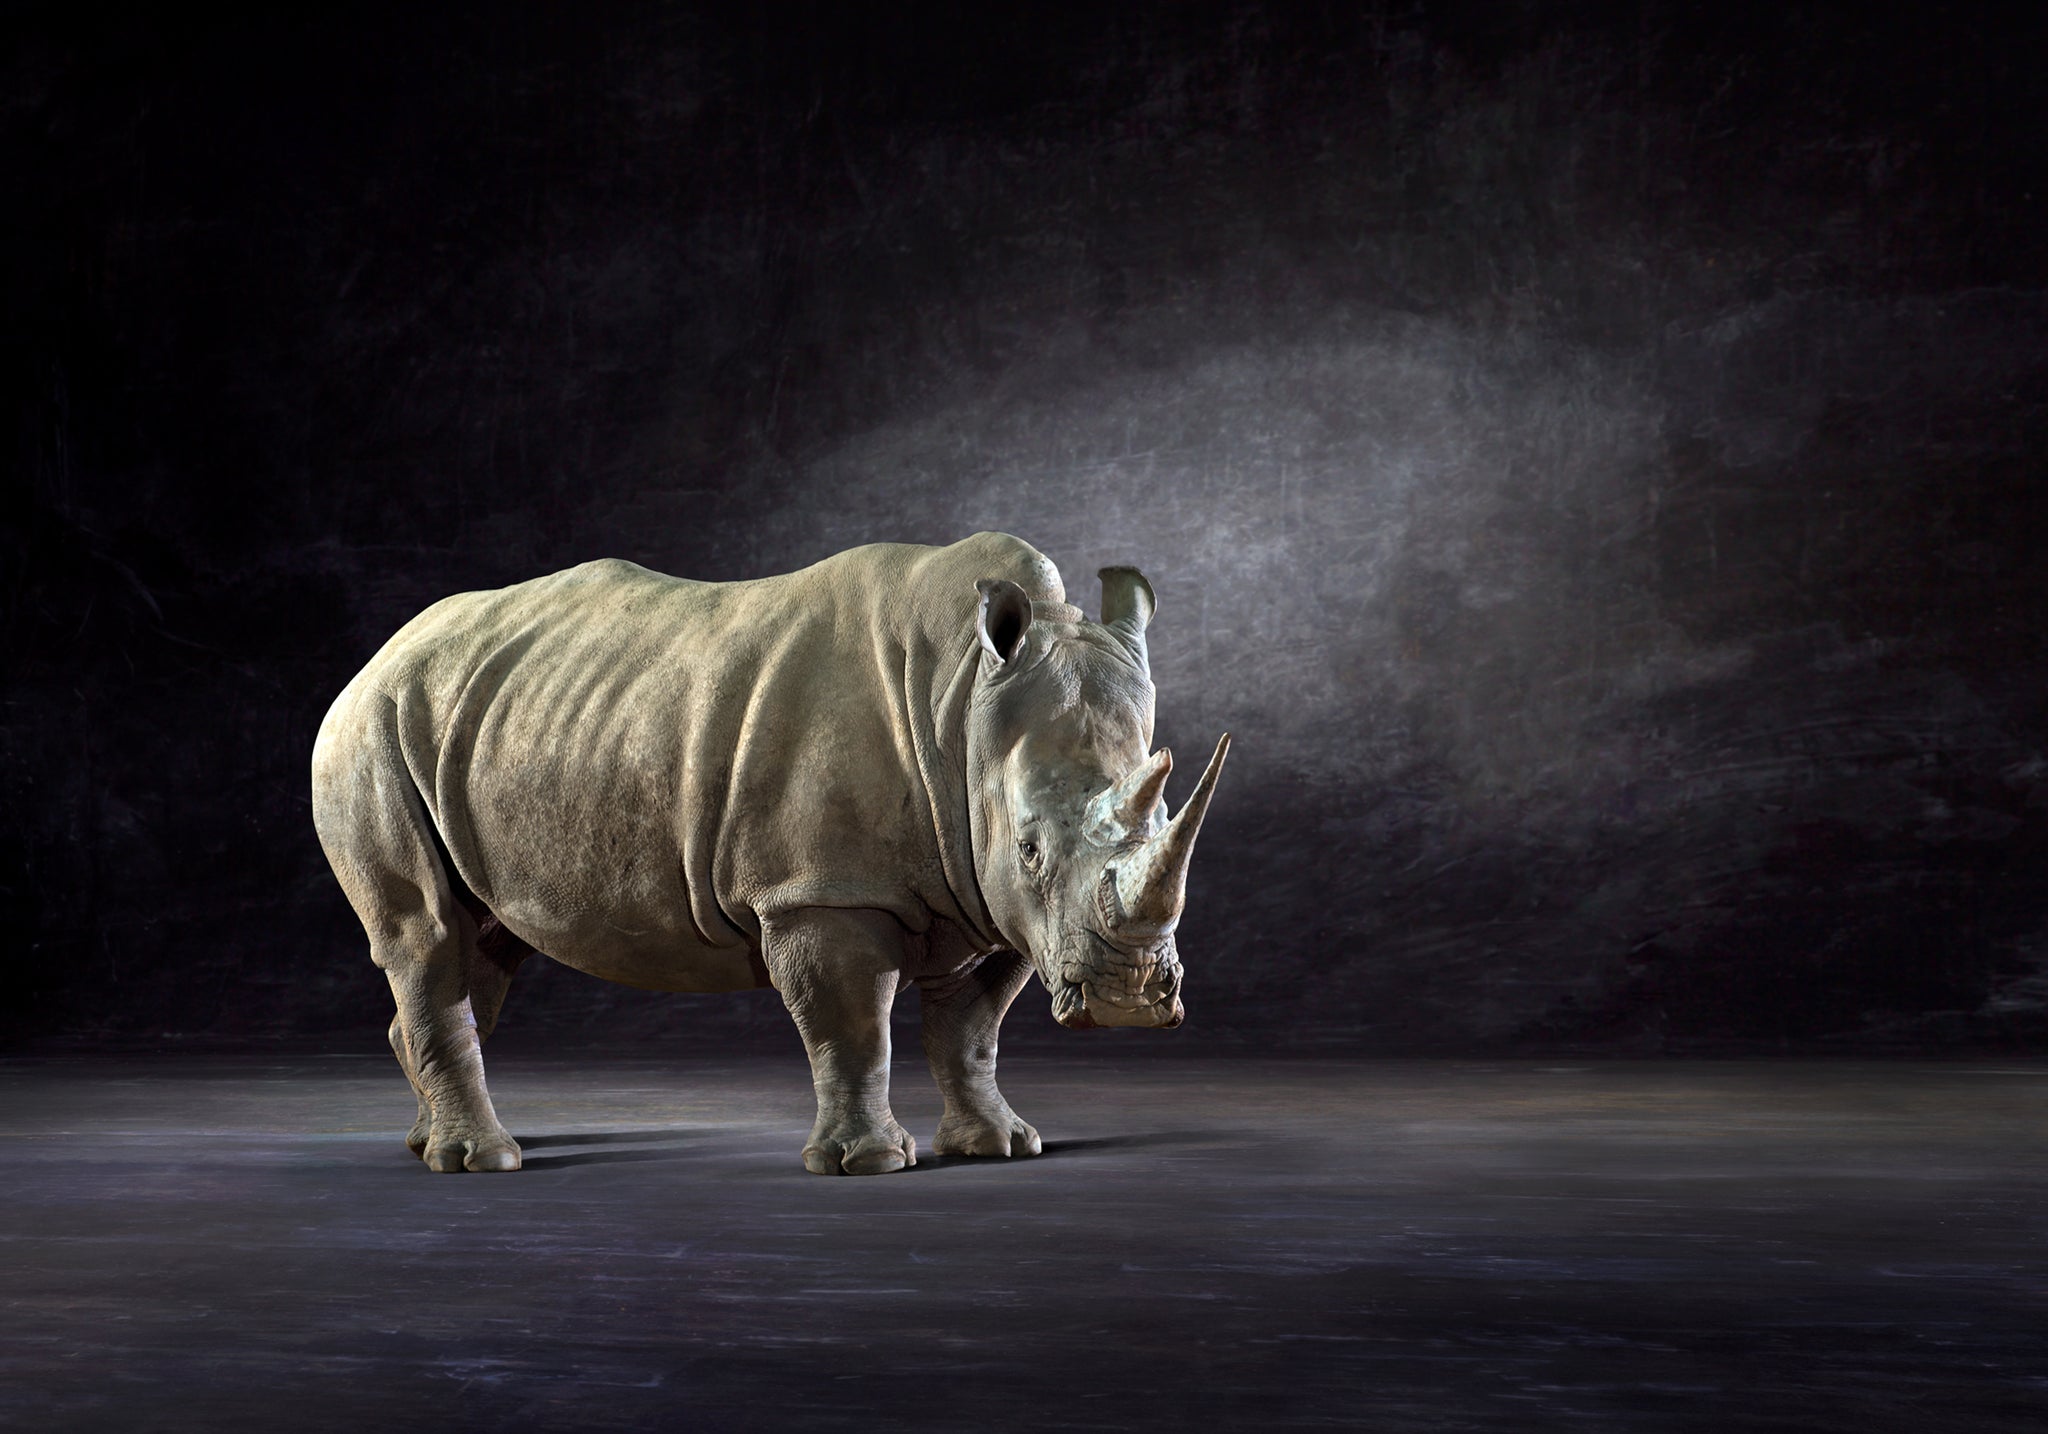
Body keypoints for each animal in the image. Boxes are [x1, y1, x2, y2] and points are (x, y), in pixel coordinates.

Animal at [311, 531, 1228, 1175]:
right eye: (1033, 846)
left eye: (1167, 817)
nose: (1128, 1000)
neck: (964, 708)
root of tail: (378, 655)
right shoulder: (820, 891)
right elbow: (851, 1027)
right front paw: (869, 1164)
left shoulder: (994, 899)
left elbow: (970, 1032)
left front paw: (1000, 1146)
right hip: (372, 729)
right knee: (426, 933)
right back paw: (483, 1161)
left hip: (480, 719)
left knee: (482, 946)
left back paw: (427, 1143)